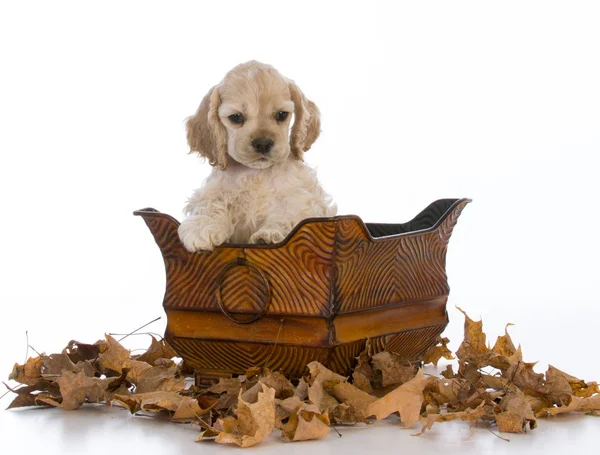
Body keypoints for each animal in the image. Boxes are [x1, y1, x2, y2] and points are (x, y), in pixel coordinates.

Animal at [178, 59, 338, 253]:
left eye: (281, 114)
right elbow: (210, 203)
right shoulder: (212, 191)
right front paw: (201, 228)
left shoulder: (302, 201)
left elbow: (288, 214)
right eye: (236, 117)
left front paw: (268, 234)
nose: (263, 143)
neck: (255, 174)